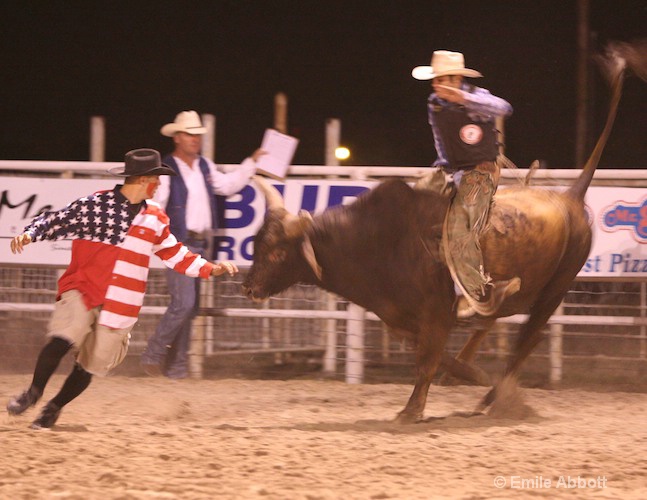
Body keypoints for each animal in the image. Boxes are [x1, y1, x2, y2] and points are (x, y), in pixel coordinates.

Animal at [242, 44, 644, 426]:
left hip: (555, 290)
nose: (248, 288)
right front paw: (466, 375)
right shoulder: (400, 319)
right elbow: (436, 357)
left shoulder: (434, 313)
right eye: (258, 244)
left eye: (277, 252)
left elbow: (427, 360)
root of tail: (570, 198)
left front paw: (411, 411)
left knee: (527, 339)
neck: (375, 242)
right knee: (498, 321)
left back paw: (493, 398)